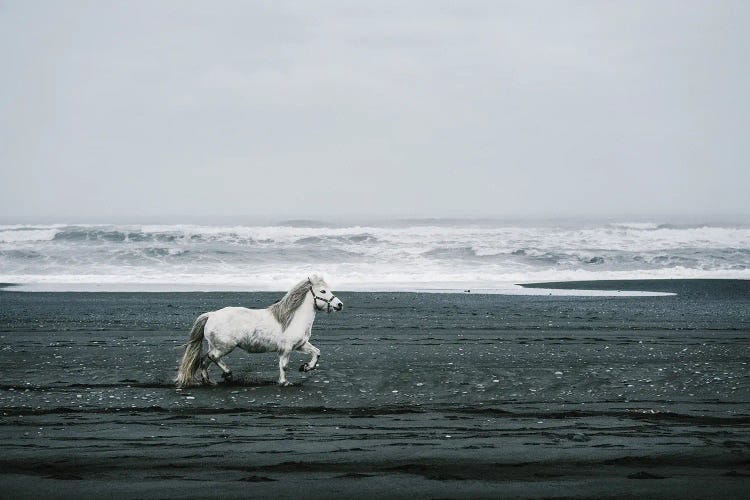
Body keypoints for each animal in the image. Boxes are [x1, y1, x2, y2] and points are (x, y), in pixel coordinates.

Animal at [176, 274, 344, 386]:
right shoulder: (286, 349)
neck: (291, 319)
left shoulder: (301, 345)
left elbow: (317, 352)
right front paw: (284, 382)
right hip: (224, 347)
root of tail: (211, 315)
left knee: (204, 360)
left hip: (216, 346)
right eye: (323, 291)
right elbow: (284, 365)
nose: (339, 305)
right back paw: (228, 374)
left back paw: (208, 381)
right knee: (212, 357)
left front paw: (306, 367)